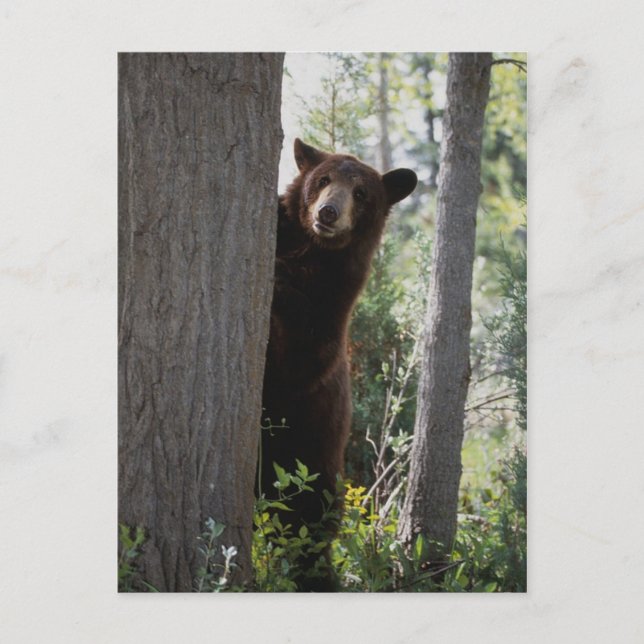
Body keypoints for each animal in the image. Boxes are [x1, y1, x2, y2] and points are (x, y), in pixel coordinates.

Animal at [259, 138, 417, 591]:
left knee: (310, 528)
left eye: (361, 193)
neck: (313, 252)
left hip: (312, 458)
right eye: (323, 179)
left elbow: (300, 355)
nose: (328, 212)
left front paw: (280, 282)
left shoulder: (331, 310)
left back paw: (318, 576)